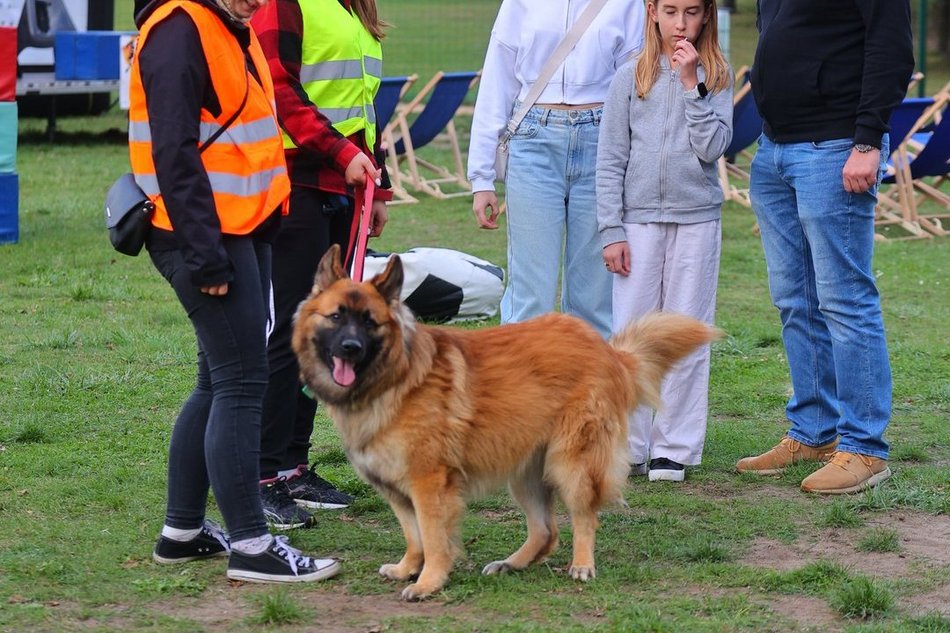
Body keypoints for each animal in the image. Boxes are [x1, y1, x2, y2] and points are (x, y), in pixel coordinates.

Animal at [292, 244, 720, 600]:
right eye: (336, 317)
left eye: (370, 322)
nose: (350, 349)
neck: (394, 379)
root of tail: (607, 349)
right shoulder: (398, 488)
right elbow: (413, 535)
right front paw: (407, 568)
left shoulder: (429, 484)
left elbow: (433, 538)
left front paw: (429, 581)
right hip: (526, 471)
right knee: (546, 531)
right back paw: (512, 563)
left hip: (571, 464)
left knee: (584, 517)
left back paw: (582, 564)